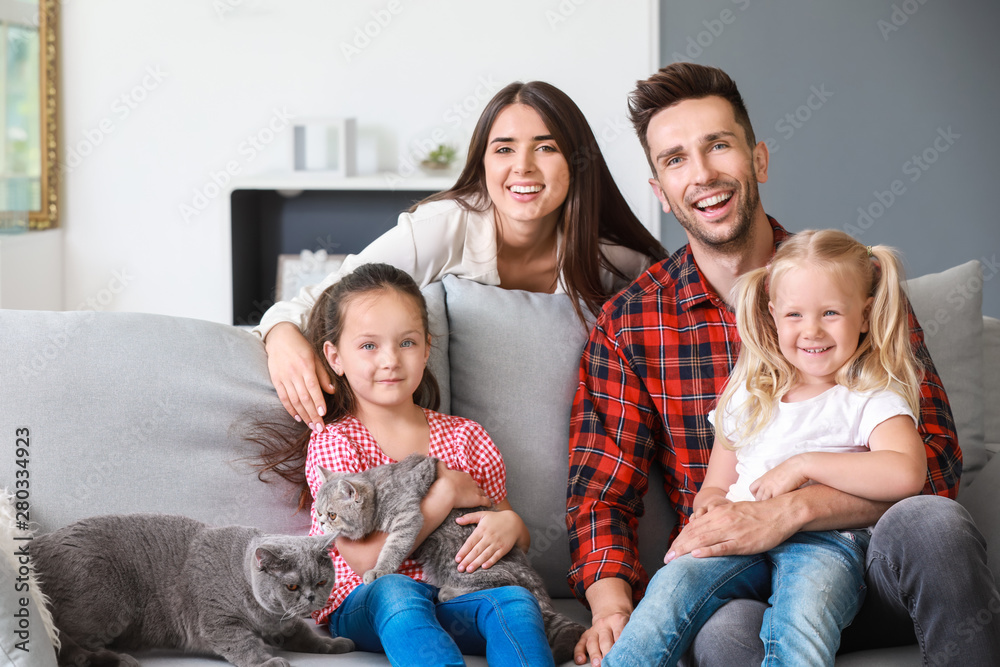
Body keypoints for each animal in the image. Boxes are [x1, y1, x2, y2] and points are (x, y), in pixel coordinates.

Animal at [33, 516, 354, 667]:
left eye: (321, 582)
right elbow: (245, 645)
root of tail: (38, 543)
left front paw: (334, 645)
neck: (267, 615)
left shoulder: (284, 624)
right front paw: (268, 661)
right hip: (106, 606)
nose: (311, 597)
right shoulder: (219, 623)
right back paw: (115, 659)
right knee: (64, 645)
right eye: (292, 586)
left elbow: (306, 635)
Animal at [314, 454, 584, 664]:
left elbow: (392, 548)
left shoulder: (407, 518)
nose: (321, 522)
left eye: (332, 514)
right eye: (318, 512)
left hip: (452, 553)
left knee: (510, 584)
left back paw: (448, 591)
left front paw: (379, 570)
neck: (379, 492)